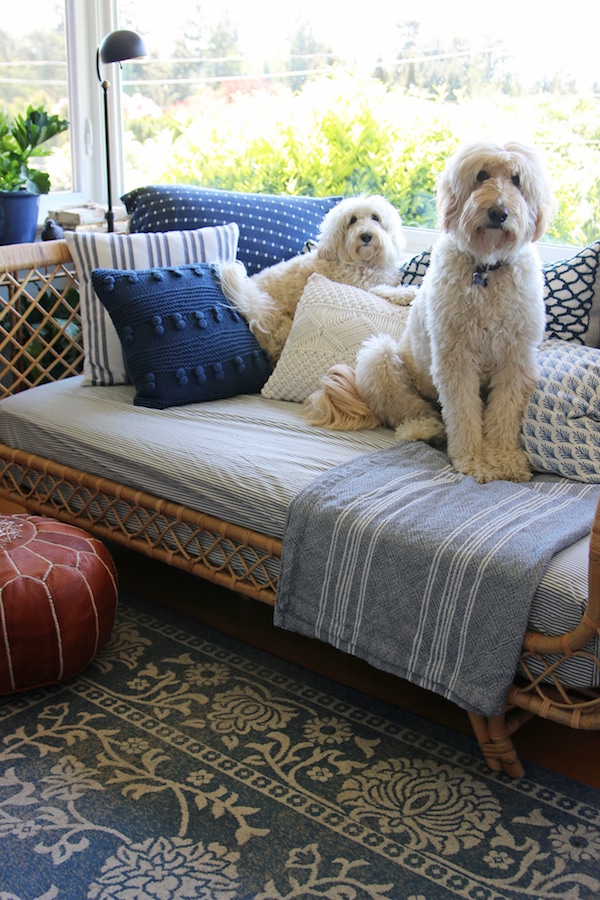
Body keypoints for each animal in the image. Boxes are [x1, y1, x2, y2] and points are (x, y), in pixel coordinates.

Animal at [219, 195, 418, 364]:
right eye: (352, 220)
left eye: (375, 218)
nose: (366, 235)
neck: (363, 263)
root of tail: (253, 310)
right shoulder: (361, 286)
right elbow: (383, 290)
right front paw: (408, 292)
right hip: (281, 326)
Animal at [302, 139, 556, 486]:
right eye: (482, 175)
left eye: (517, 179)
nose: (498, 212)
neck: (486, 270)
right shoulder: (455, 359)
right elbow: (463, 413)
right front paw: (473, 459)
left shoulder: (515, 360)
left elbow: (504, 413)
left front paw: (504, 458)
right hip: (381, 357)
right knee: (415, 411)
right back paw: (425, 429)